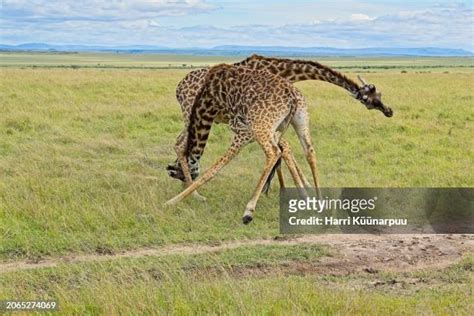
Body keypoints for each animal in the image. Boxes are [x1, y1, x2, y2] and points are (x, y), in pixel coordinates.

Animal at [165, 63, 324, 223]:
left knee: (274, 152)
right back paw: (319, 202)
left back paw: (247, 210)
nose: (177, 176)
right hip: (295, 122)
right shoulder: (257, 131)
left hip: (261, 127)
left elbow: (214, 168)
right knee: (308, 150)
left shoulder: (244, 132)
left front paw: (172, 201)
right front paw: (304, 195)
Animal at [167, 55, 392, 190]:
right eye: (370, 99)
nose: (389, 111)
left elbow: (284, 151)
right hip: (190, 113)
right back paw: (191, 187)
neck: (282, 72)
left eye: (379, 94)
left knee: (181, 144)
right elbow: (285, 150)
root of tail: (178, 86)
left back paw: (182, 178)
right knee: (181, 145)